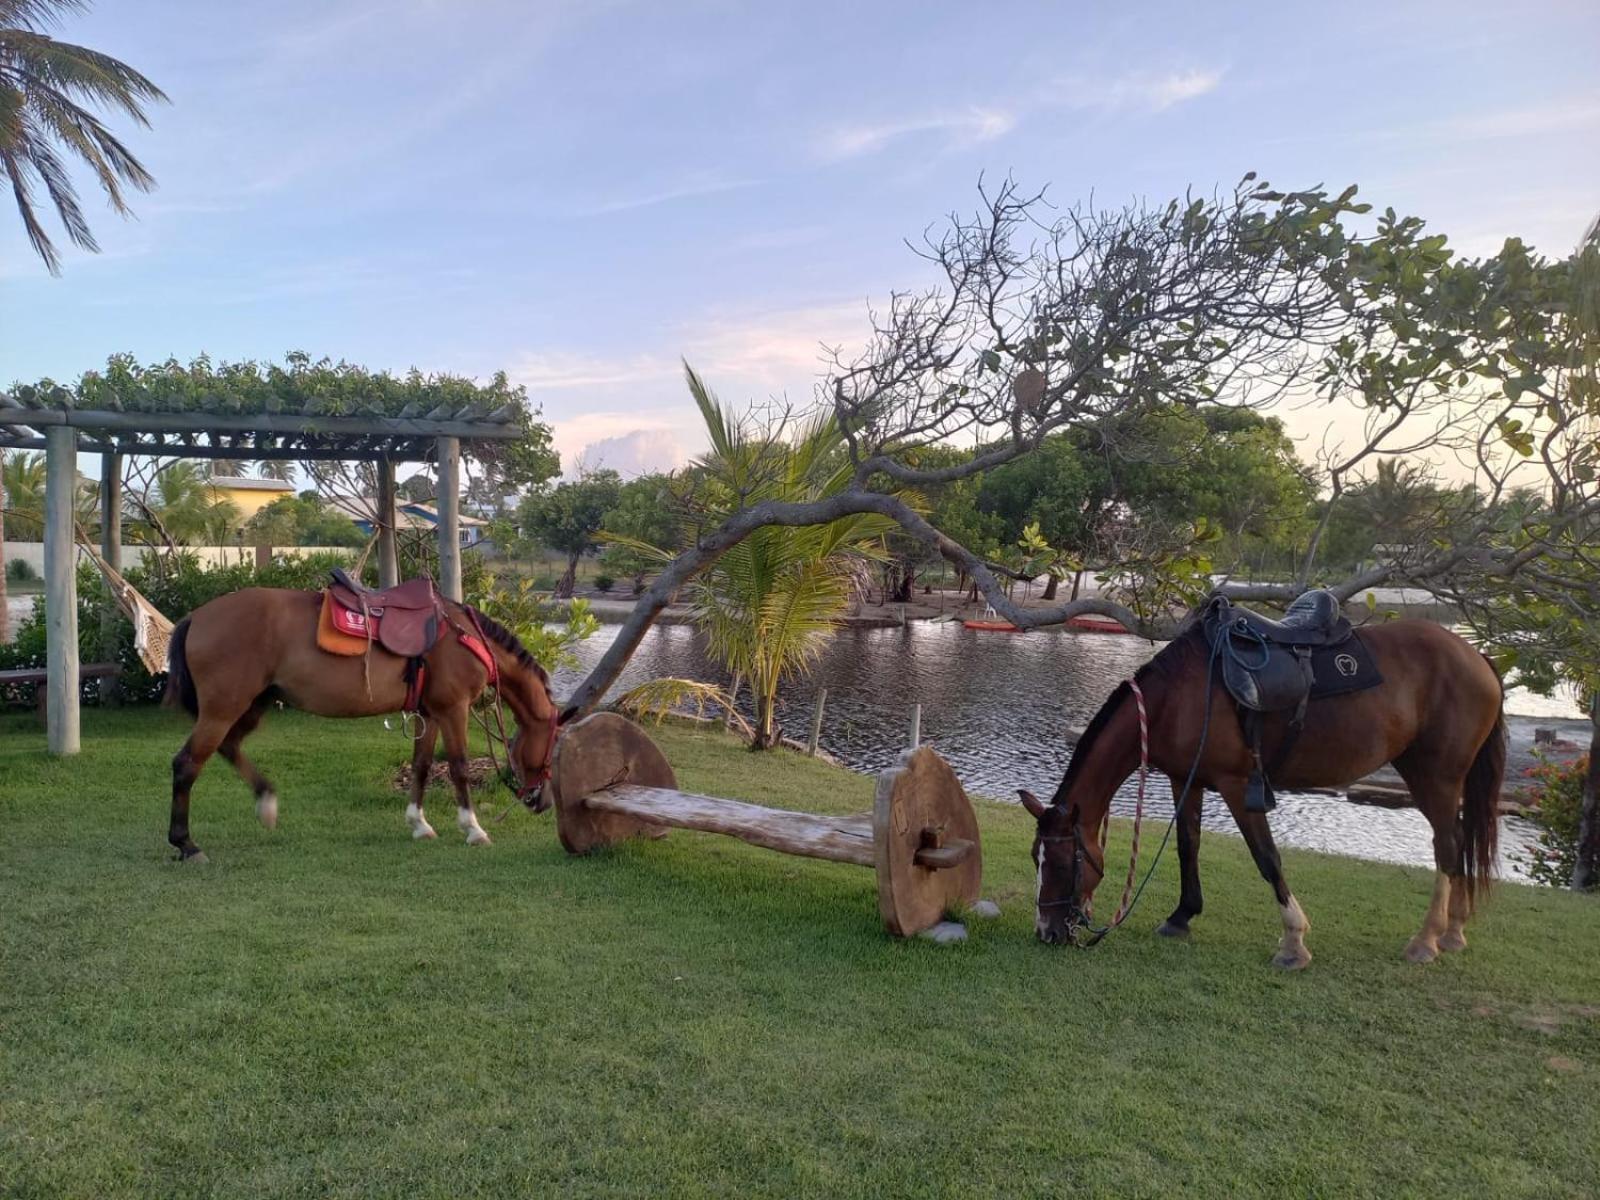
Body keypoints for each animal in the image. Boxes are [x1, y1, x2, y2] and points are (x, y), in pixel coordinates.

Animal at [165, 585, 566, 857]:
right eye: (553, 748)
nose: (542, 801)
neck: (464, 634)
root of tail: (196, 616)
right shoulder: (455, 709)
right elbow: (459, 767)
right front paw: (473, 829)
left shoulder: (431, 712)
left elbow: (422, 766)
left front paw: (418, 823)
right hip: (223, 709)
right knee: (187, 764)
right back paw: (186, 843)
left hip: (251, 705)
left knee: (229, 747)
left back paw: (266, 801)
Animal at [1017, 614, 1504, 972]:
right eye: (1035, 858)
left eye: (1060, 861)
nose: (1046, 931)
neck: (1175, 699)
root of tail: (1476, 655)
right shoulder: (1186, 779)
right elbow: (1188, 846)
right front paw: (1181, 916)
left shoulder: (1237, 786)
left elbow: (1266, 858)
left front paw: (1293, 941)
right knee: (1460, 839)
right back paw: (1454, 929)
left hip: (1436, 776)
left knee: (1447, 845)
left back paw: (1427, 939)